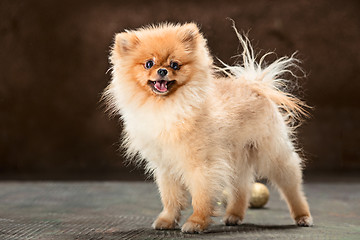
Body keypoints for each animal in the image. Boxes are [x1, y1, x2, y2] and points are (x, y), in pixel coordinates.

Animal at [102, 22, 310, 232]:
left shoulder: (202, 164)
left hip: (271, 152)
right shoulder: (165, 165)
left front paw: (196, 222)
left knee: (291, 183)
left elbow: (201, 196)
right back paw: (234, 215)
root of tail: (255, 85)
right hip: (236, 157)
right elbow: (170, 197)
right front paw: (167, 220)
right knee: (241, 187)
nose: (162, 71)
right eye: (148, 64)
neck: (169, 106)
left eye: (175, 64)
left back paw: (302, 215)